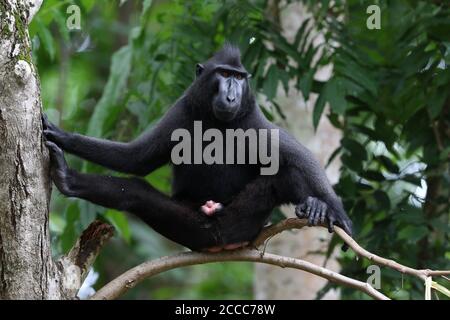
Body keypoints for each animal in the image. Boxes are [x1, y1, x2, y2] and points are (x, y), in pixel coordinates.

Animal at [43, 44, 352, 252]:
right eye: (224, 74)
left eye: (239, 78)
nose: (232, 95)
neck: (216, 121)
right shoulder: (182, 109)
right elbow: (137, 159)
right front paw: (63, 136)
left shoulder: (253, 119)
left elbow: (298, 157)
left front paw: (337, 212)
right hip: (189, 227)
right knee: (133, 193)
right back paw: (67, 179)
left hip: (242, 223)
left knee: (286, 176)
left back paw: (314, 206)